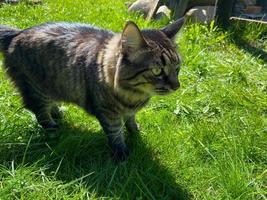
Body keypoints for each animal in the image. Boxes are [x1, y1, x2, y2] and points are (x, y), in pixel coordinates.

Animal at [0, 17, 184, 161]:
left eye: (177, 68)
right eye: (157, 70)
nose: (177, 86)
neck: (134, 94)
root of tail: (16, 34)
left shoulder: (129, 111)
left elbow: (131, 121)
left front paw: (136, 133)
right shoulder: (108, 113)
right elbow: (115, 133)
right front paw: (121, 154)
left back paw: (58, 112)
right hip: (37, 91)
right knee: (41, 115)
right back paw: (54, 130)